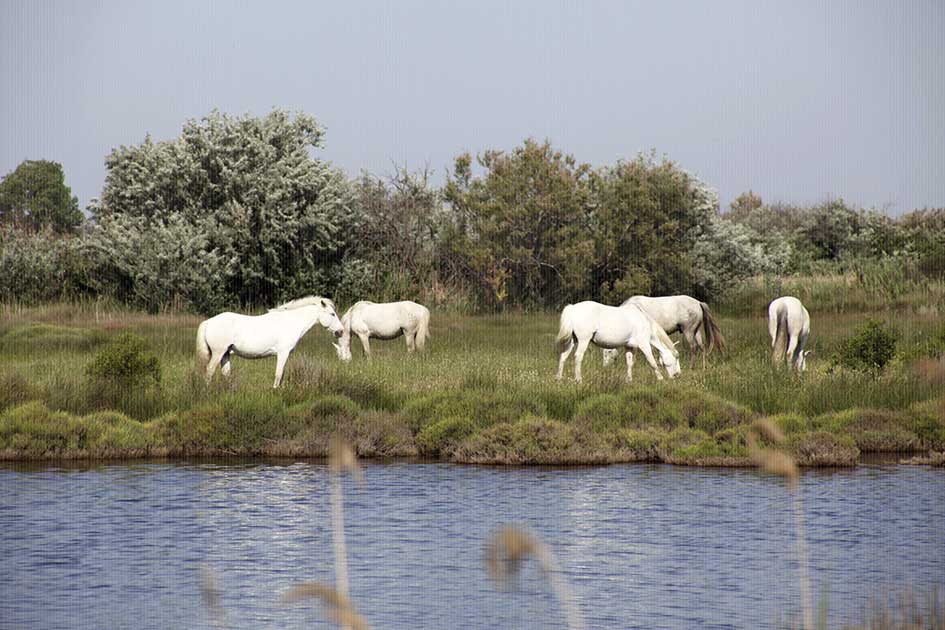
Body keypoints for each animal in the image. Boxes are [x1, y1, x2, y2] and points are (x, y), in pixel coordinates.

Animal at [195, 298, 342, 390]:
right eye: (332, 314)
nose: (340, 331)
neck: (291, 322)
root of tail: (208, 322)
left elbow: (281, 374)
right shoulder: (283, 353)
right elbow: (278, 374)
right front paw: (275, 390)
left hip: (225, 353)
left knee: (225, 373)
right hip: (218, 353)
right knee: (209, 371)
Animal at [552, 302, 680, 386]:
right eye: (676, 358)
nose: (677, 375)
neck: (644, 320)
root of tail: (572, 308)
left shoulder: (629, 347)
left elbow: (629, 363)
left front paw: (629, 381)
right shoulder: (644, 344)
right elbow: (652, 362)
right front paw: (660, 379)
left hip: (572, 341)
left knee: (563, 357)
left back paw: (558, 378)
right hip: (583, 340)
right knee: (578, 357)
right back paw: (578, 380)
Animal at [600, 296, 728, 370]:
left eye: (609, 352)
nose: (605, 367)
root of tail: (698, 302)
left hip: (688, 331)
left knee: (694, 347)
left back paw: (691, 367)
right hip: (696, 332)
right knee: (702, 347)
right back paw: (704, 367)